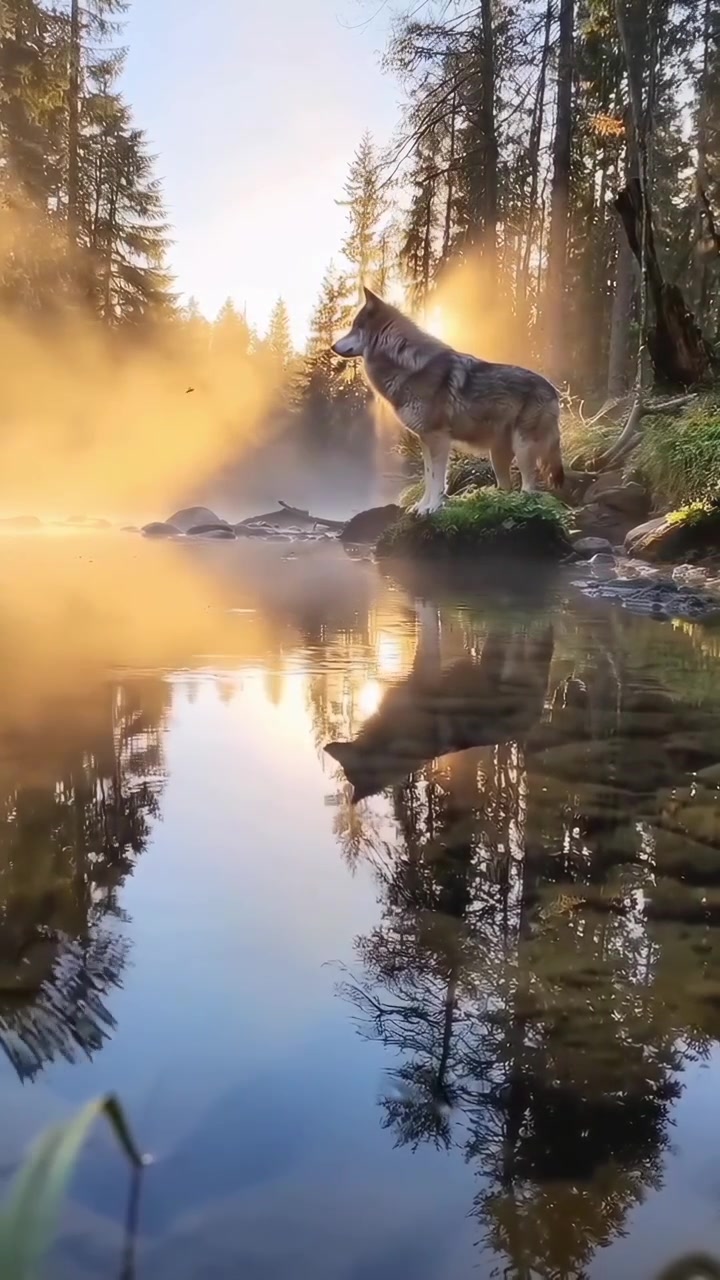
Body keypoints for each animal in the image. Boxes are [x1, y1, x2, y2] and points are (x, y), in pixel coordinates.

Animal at [332, 287, 564, 514]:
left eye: (355, 328)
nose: (333, 346)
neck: (408, 364)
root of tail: (553, 389)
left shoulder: (438, 438)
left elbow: (436, 478)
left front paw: (433, 507)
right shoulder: (425, 439)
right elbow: (427, 476)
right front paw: (421, 507)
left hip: (523, 447)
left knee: (530, 487)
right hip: (497, 455)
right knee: (508, 487)